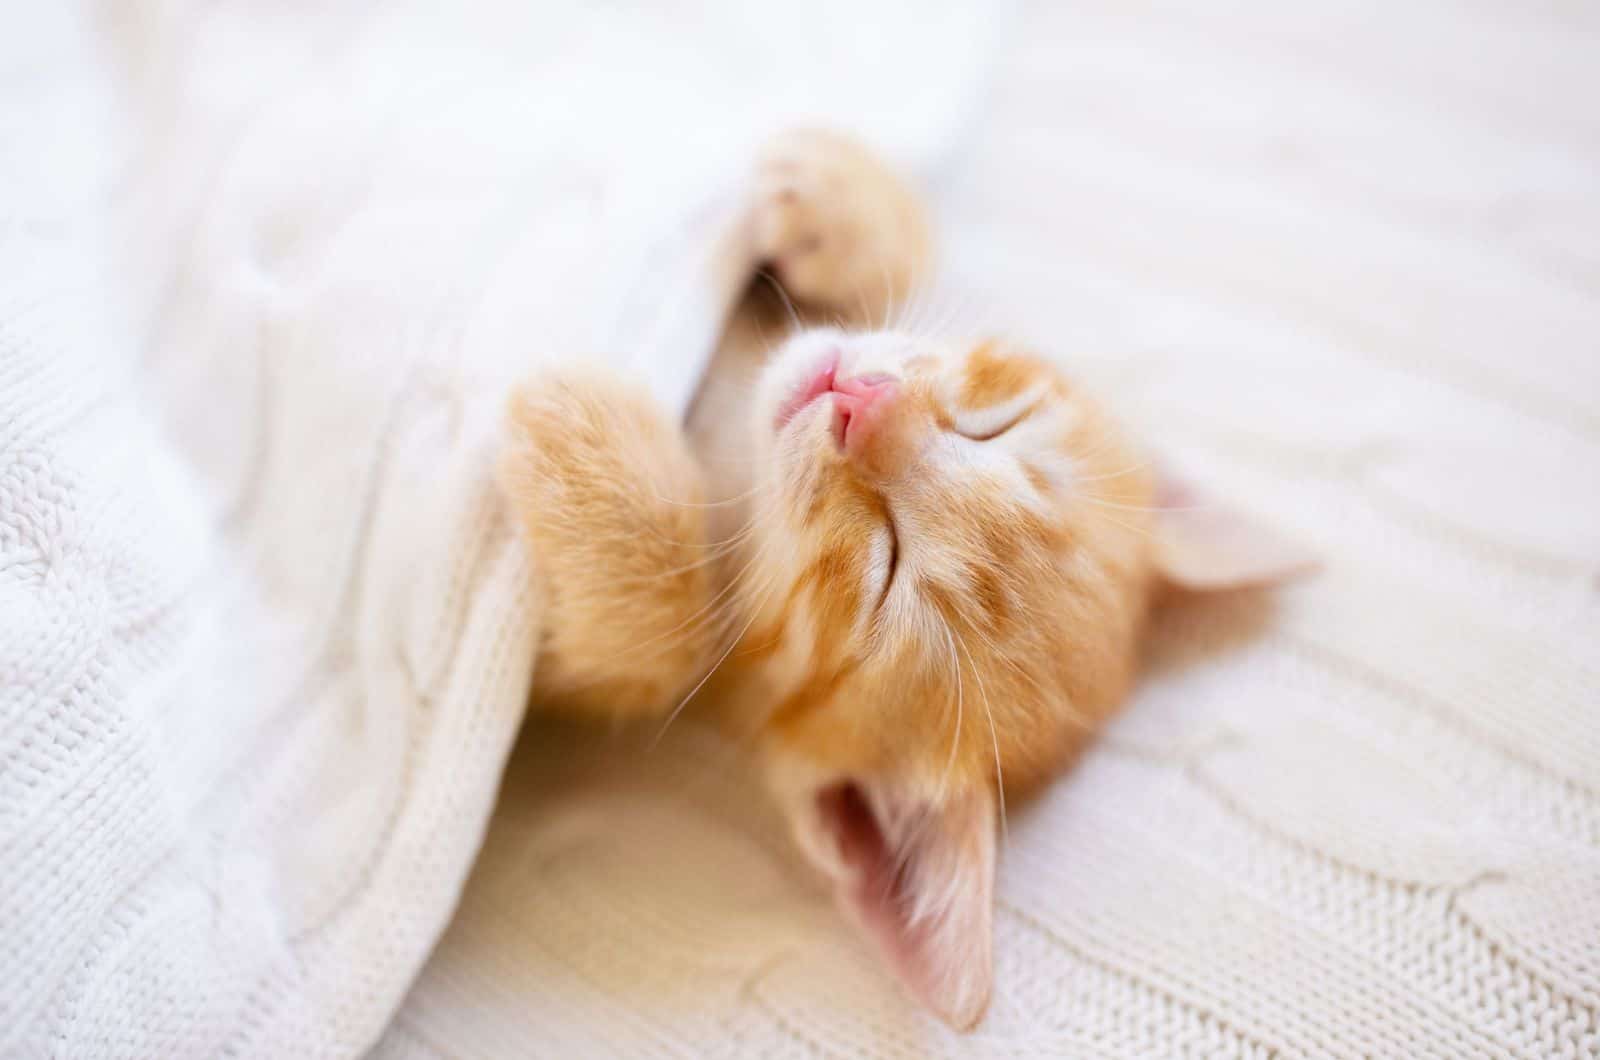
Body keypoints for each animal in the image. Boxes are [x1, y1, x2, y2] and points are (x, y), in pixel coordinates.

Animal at [499, 128, 1312, 1031]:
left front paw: (588, 440)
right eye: (995, 428)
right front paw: (842, 195)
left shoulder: (580, 688)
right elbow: (910, 267)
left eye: (886, 571)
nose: (864, 405)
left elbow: (646, 659)